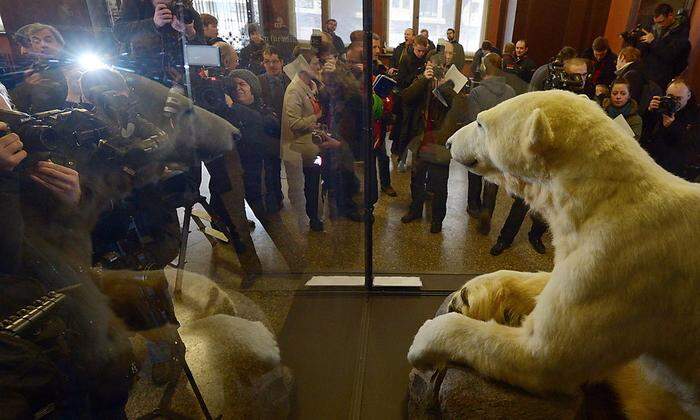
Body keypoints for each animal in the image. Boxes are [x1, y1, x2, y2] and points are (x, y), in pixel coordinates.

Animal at [408, 90, 700, 418]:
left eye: (481, 122)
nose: (448, 142)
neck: (603, 198)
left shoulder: (624, 268)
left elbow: (544, 355)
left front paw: (425, 340)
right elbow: (547, 283)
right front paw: (470, 294)